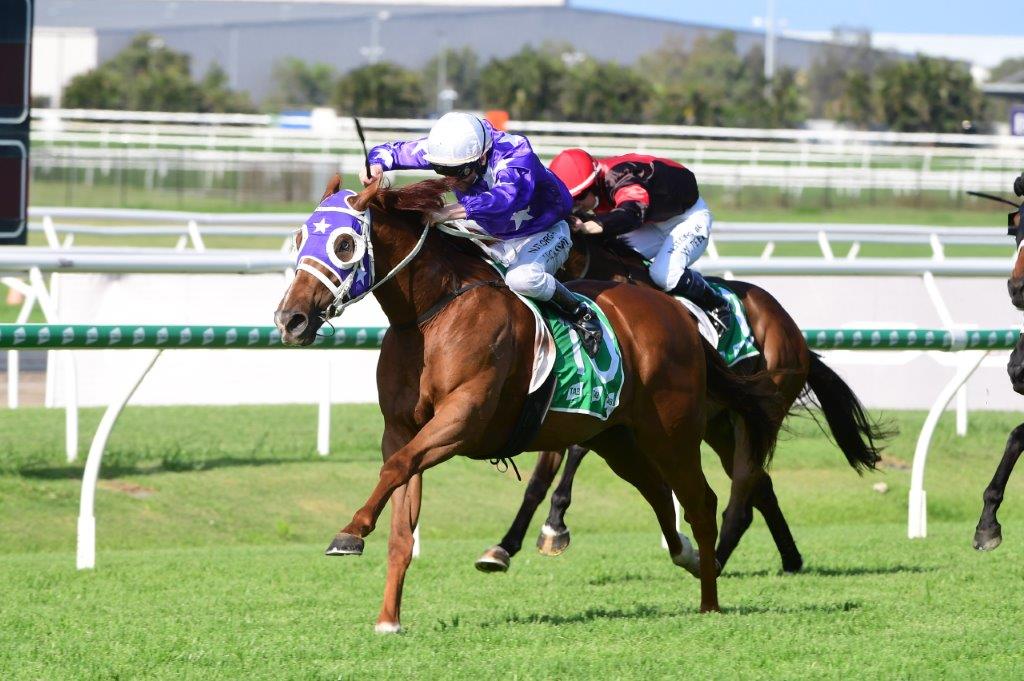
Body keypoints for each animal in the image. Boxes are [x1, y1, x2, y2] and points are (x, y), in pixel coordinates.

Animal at [274, 176, 782, 630]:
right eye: (299, 237)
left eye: (343, 244)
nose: (290, 319)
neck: (432, 317)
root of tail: (675, 311)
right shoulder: (402, 429)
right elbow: (401, 514)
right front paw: (388, 619)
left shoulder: (462, 421)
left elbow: (396, 468)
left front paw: (351, 531)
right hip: (617, 439)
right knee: (657, 492)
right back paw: (689, 557)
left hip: (672, 432)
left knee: (700, 500)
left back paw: (710, 600)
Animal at [479, 233, 888, 573]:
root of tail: (792, 329)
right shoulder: (566, 402)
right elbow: (539, 479)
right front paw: (509, 544)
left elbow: (576, 454)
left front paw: (554, 526)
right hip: (720, 425)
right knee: (761, 484)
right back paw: (789, 557)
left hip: (759, 410)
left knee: (744, 487)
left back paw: (717, 559)